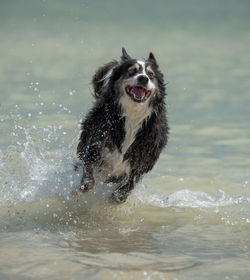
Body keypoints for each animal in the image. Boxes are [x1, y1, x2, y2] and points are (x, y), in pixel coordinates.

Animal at [76, 48, 169, 203]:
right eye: (132, 71)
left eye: (151, 75)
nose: (143, 78)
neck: (132, 116)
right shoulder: (94, 143)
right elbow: (88, 174)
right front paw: (82, 188)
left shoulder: (142, 162)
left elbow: (126, 188)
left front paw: (114, 199)